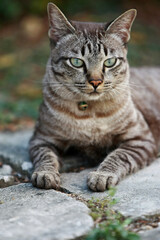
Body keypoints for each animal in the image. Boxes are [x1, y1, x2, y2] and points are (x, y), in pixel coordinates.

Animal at [29, 2, 160, 191]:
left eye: (110, 62)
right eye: (76, 62)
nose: (96, 82)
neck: (89, 113)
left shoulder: (140, 139)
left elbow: (118, 156)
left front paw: (101, 175)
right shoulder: (41, 138)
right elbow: (45, 157)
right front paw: (45, 173)